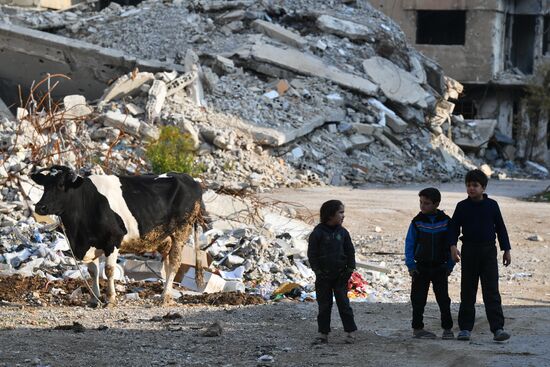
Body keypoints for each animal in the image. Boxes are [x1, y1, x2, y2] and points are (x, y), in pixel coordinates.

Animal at [30, 165, 204, 306]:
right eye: (44, 185)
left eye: (60, 185)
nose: (40, 207)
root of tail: (190, 179)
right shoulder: (89, 243)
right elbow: (93, 272)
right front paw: (95, 299)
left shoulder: (113, 240)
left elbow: (109, 270)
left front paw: (110, 298)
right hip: (165, 237)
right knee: (167, 265)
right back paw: (166, 295)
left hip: (182, 230)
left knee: (175, 262)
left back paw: (164, 296)